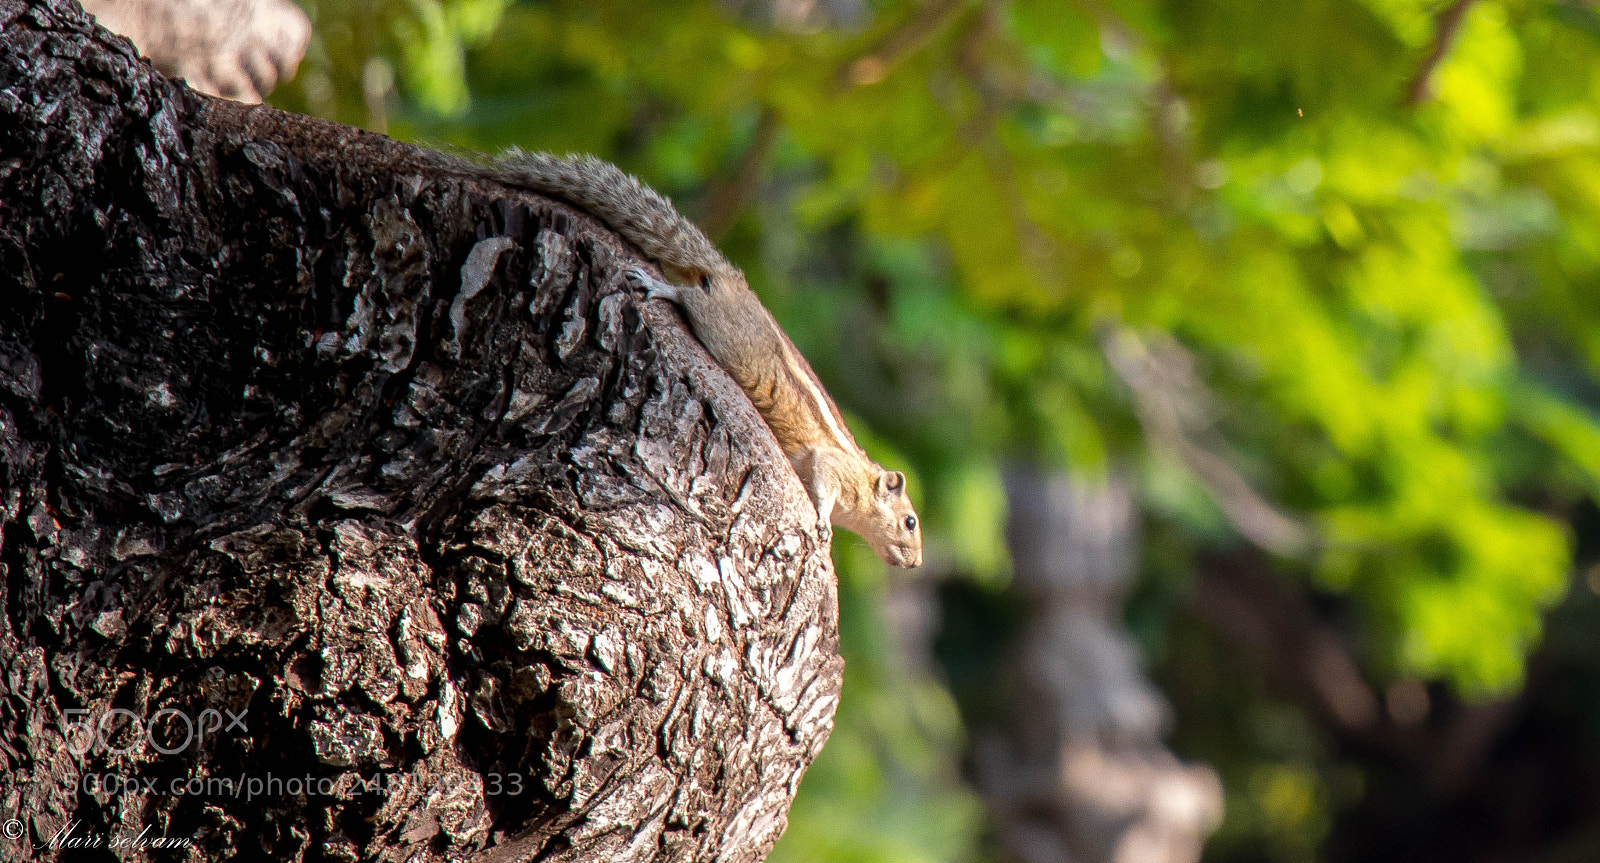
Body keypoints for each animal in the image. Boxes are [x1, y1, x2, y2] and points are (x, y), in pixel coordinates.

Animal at [481, 151, 922, 568]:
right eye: (910, 522)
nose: (916, 563)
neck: (865, 477)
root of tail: (734, 280)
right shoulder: (833, 466)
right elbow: (824, 487)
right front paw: (824, 524)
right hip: (720, 327)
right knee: (691, 294)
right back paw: (659, 286)